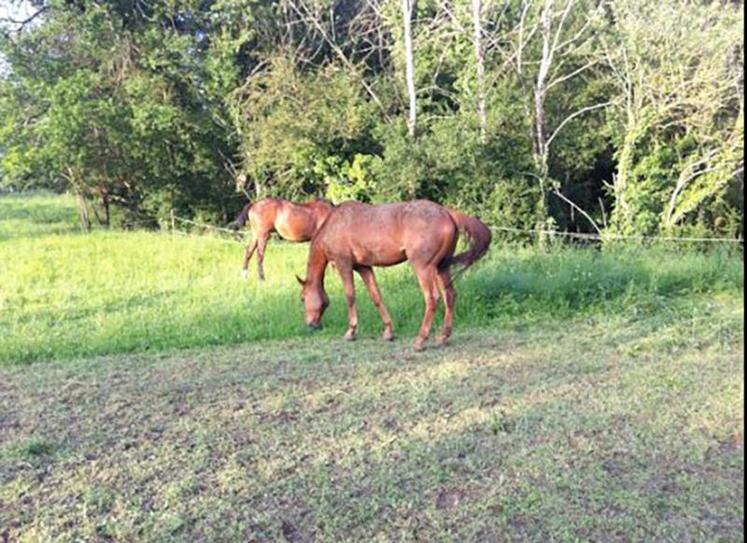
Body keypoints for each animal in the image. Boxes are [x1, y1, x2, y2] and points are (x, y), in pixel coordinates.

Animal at [296, 202, 494, 350]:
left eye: (303, 298)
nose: (311, 325)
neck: (333, 225)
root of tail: (447, 213)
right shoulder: (364, 267)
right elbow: (376, 296)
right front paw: (389, 332)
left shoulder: (344, 264)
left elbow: (350, 296)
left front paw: (351, 332)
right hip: (441, 268)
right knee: (449, 296)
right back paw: (443, 336)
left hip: (423, 268)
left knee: (432, 298)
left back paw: (420, 340)